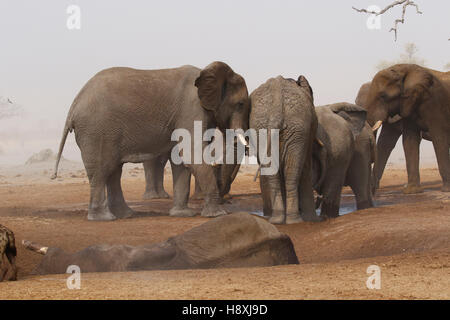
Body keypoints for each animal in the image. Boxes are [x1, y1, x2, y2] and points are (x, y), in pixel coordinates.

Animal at [250, 75, 320, 225]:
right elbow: (306, 166)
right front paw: (313, 219)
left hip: (262, 128)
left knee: (275, 173)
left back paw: (277, 219)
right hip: (296, 127)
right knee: (292, 171)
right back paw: (294, 220)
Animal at [364, 62, 448, 192]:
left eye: (383, 96)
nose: (373, 191)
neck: (405, 69)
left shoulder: (434, 103)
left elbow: (439, 138)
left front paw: (446, 189)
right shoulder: (407, 105)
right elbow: (410, 141)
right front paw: (412, 191)